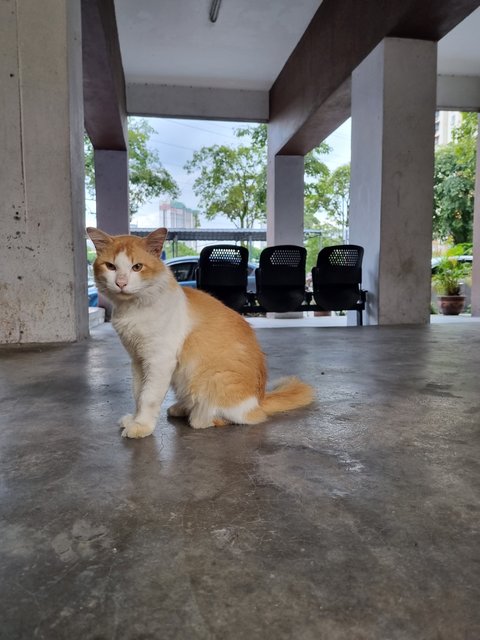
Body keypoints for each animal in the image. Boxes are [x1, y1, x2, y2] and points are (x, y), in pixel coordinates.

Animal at [85, 226, 316, 440]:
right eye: (111, 266)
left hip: (213, 380)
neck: (133, 309)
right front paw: (135, 419)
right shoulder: (138, 360)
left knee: (234, 418)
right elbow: (137, 394)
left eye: (137, 267)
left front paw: (142, 425)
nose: (121, 283)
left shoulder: (159, 360)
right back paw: (181, 408)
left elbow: (148, 397)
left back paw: (199, 417)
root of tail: (259, 400)